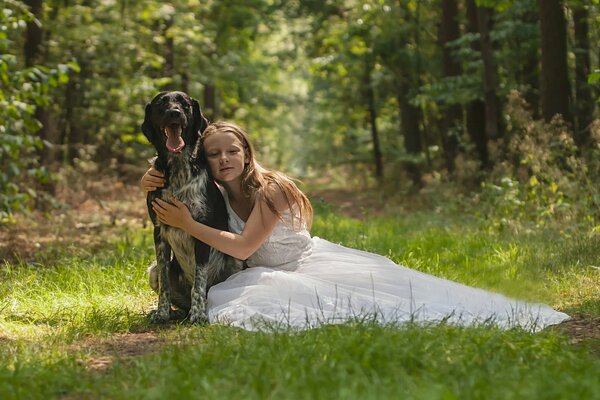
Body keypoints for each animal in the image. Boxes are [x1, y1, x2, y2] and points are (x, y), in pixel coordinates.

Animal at [142, 89, 240, 324]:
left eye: (185, 104)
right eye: (161, 103)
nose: (174, 113)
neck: (178, 167)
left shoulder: (201, 229)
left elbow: (199, 279)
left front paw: (198, 315)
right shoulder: (159, 231)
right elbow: (165, 284)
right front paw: (161, 313)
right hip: (152, 270)